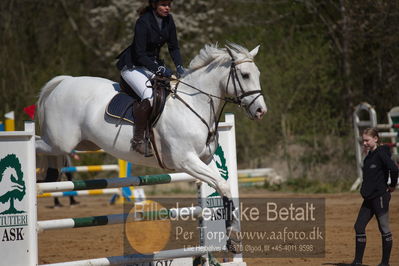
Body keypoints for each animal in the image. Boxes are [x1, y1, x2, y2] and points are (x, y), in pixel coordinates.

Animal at [36, 42, 268, 252]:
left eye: (257, 74)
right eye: (245, 75)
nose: (261, 111)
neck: (195, 105)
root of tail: (64, 82)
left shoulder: (205, 160)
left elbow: (224, 186)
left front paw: (232, 239)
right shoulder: (186, 161)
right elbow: (222, 185)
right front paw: (232, 235)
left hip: (84, 144)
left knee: (53, 155)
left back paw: (48, 176)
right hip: (60, 141)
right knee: (38, 143)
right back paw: (38, 175)